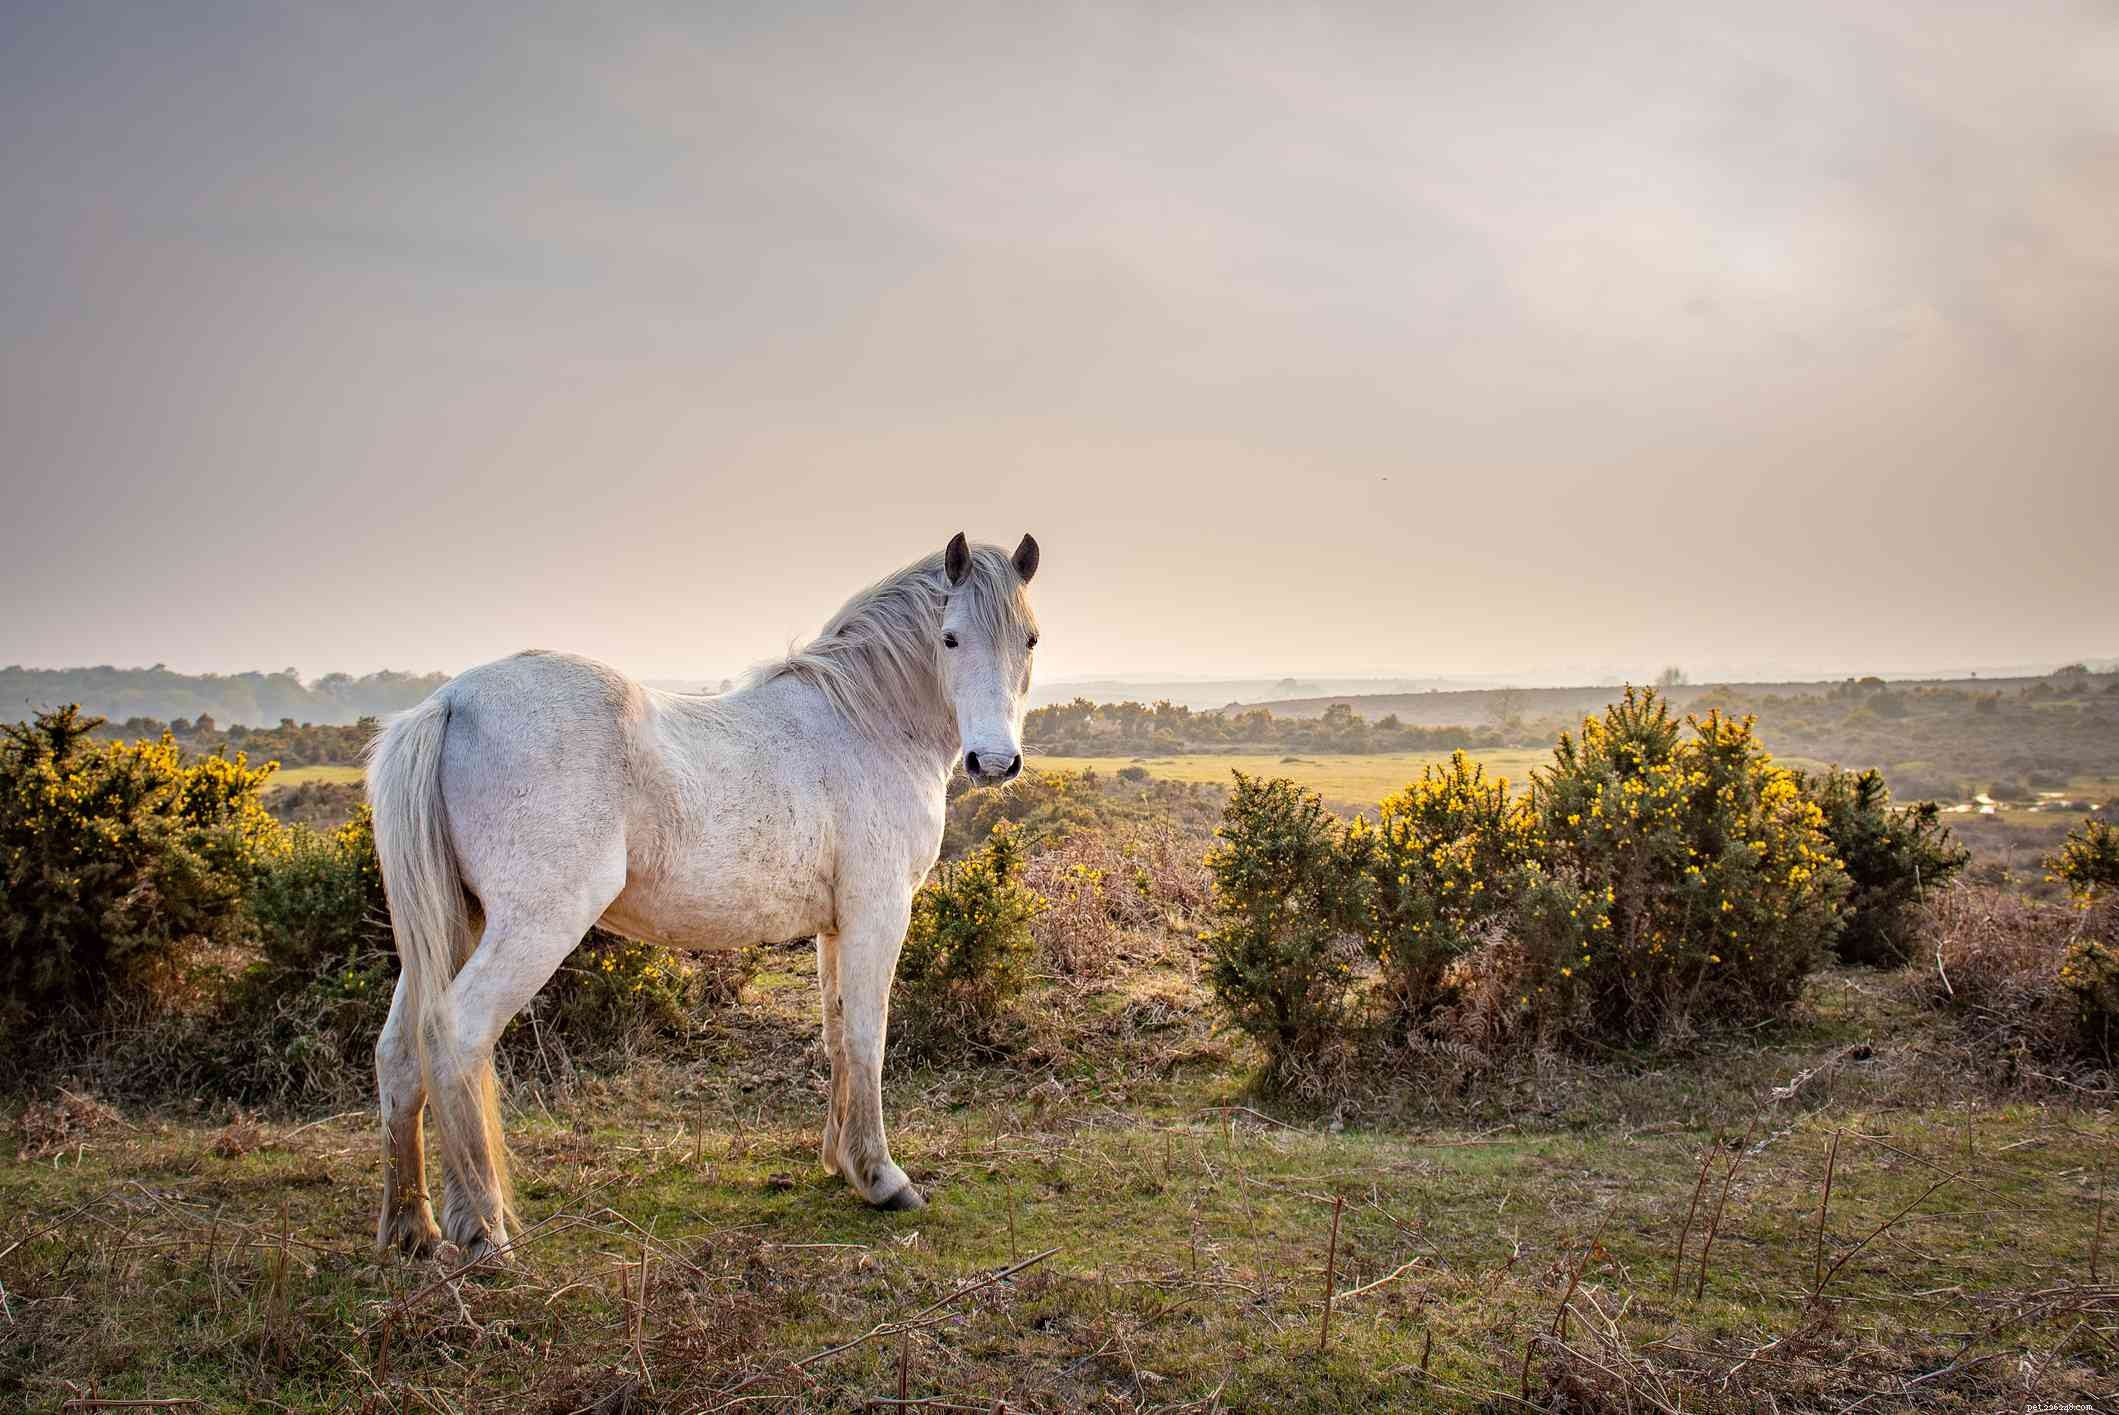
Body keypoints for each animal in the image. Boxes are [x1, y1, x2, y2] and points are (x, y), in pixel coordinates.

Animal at [365, 531, 1042, 1259]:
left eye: (1029, 639)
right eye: (949, 637)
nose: (993, 762)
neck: (865, 722)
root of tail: (449, 701)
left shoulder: (835, 926)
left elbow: (836, 1036)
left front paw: (842, 1163)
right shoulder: (878, 912)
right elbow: (868, 1035)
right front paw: (883, 1178)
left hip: (452, 925)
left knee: (400, 1053)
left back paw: (412, 1228)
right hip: (533, 927)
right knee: (454, 1034)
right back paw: (484, 1233)